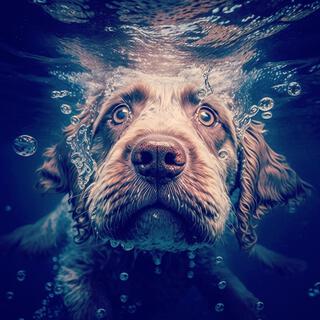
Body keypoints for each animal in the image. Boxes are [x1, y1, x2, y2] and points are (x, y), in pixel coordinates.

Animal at [2, 75, 312, 320]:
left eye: (207, 116)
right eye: (119, 114)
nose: (159, 157)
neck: (152, 254)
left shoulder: (211, 267)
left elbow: (243, 301)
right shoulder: (77, 272)